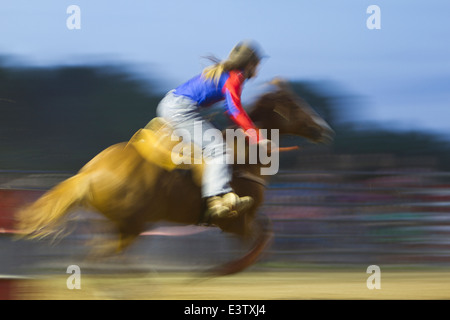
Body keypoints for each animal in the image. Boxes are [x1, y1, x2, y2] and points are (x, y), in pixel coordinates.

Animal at [15, 79, 332, 276]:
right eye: (295, 104)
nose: (324, 130)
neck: (242, 155)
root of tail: (89, 172)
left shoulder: (244, 220)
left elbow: (266, 231)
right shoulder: (234, 222)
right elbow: (264, 236)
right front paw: (223, 269)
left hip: (117, 225)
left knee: (99, 254)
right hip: (131, 225)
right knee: (99, 256)